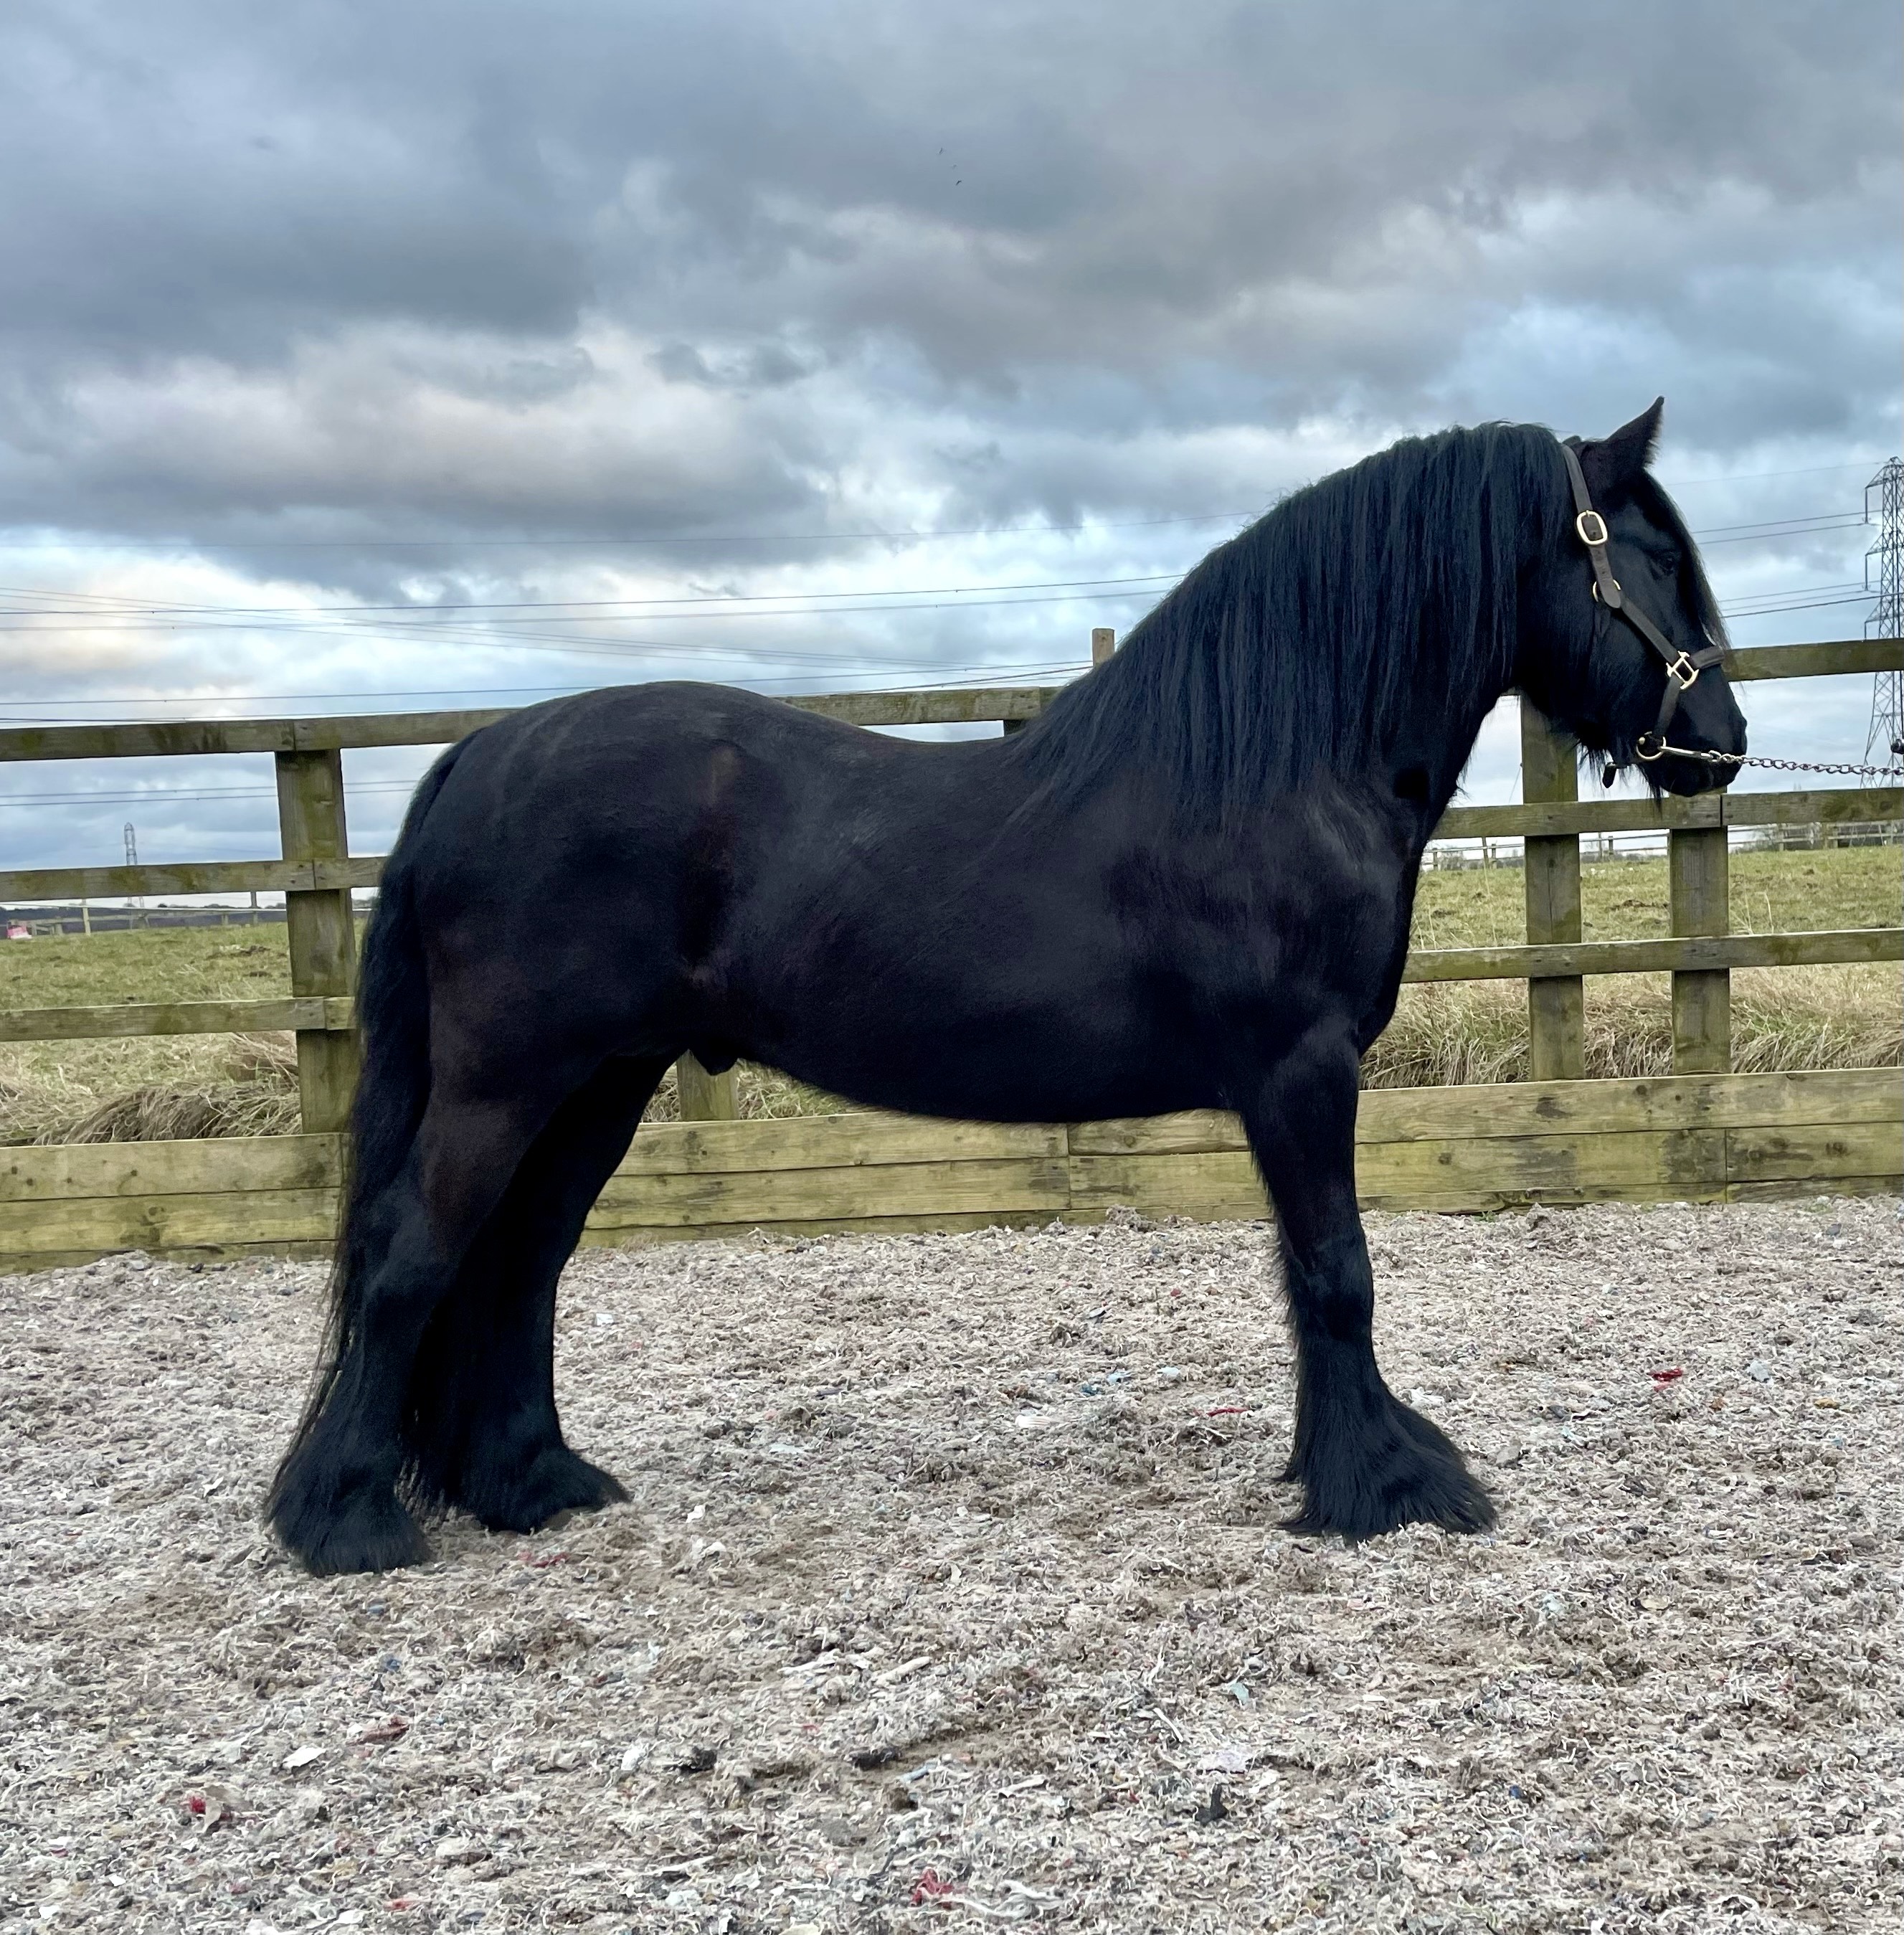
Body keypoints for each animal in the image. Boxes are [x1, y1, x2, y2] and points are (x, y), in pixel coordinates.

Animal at [270, 404, 1756, 1571]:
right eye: (1656, 556)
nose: (1723, 742)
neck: (1280, 759)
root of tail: (474, 756)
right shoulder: (1302, 1067)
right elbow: (1338, 1271)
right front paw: (1386, 1485)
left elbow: (1307, 1276)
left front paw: (1347, 1463)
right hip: (512, 1076)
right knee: (415, 1257)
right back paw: (347, 1520)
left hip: (601, 1081)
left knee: (521, 1261)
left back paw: (532, 1483)